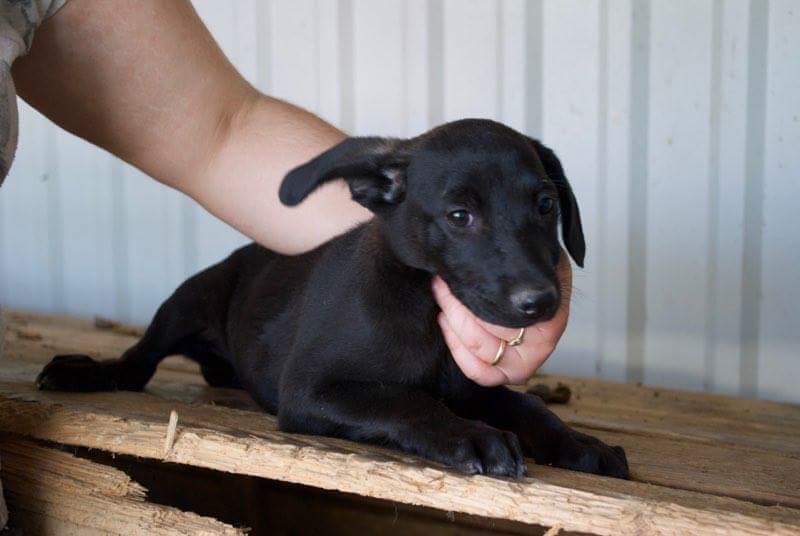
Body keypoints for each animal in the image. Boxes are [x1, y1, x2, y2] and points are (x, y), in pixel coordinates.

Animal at [39, 120, 632, 478]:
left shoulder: (471, 384)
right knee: (138, 360)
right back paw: (88, 370)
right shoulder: (311, 390)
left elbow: (527, 405)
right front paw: (472, 436)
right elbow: (407, 401)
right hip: (185, 302)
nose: (541, 302)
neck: (423, 308)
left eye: (545, 205)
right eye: (459, 215)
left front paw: (580, 443)